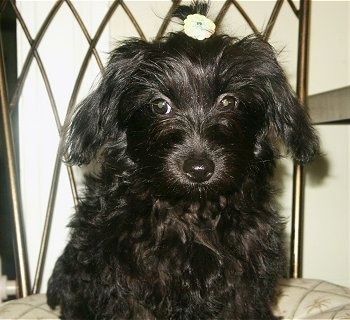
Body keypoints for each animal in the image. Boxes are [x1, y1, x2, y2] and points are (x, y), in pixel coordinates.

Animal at [47, 1, 320, 318]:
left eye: (229, 101)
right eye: (159, 105)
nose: (199, 169)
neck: (191, 209)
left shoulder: (245, 282)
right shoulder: (123, 284)